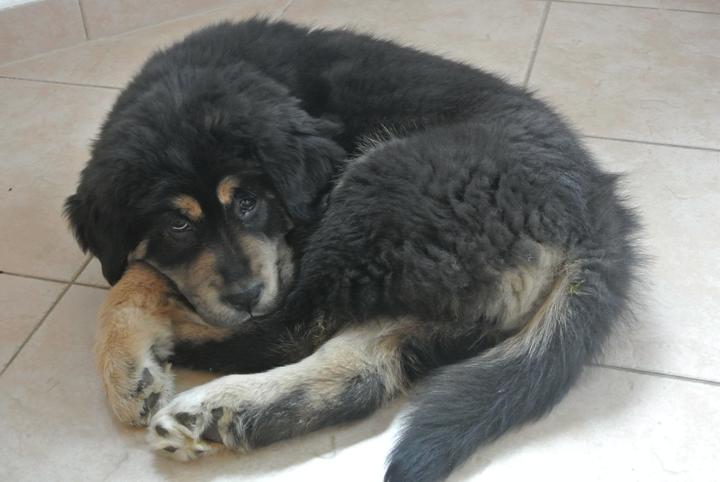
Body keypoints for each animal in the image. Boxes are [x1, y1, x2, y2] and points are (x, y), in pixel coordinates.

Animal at [65, 19, 641, 482]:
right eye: (177, 224)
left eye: (249, 201)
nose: (246, 295)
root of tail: (599, 216)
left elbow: (136, 276)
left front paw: (127, 365)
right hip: (436, 293)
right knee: (359, 372)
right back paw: (220, 414)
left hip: (375, 193)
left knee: (286, 331)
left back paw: (178, 346)